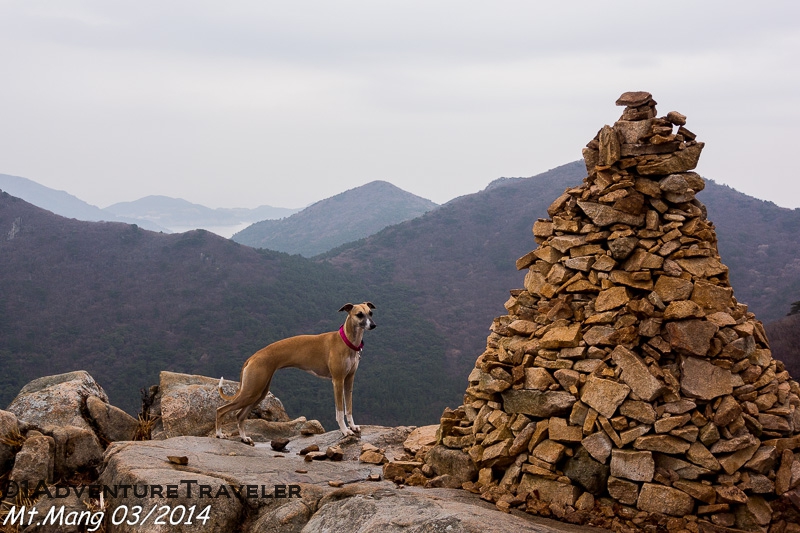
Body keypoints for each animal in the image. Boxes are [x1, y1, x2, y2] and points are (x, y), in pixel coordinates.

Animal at [212, 302, 376, 442]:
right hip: (251, 390)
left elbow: (349, 408)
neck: (346, 340)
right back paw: (220, 434)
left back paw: (244, 438)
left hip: (259, 392)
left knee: (240, 415)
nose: (373, 325)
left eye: (370, 313)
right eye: (359, 314)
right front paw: (345, 431)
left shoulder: (349, 380)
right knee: (221, 410)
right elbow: (340, 411)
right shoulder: (337, 381)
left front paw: (353, 427)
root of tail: (252, 358)